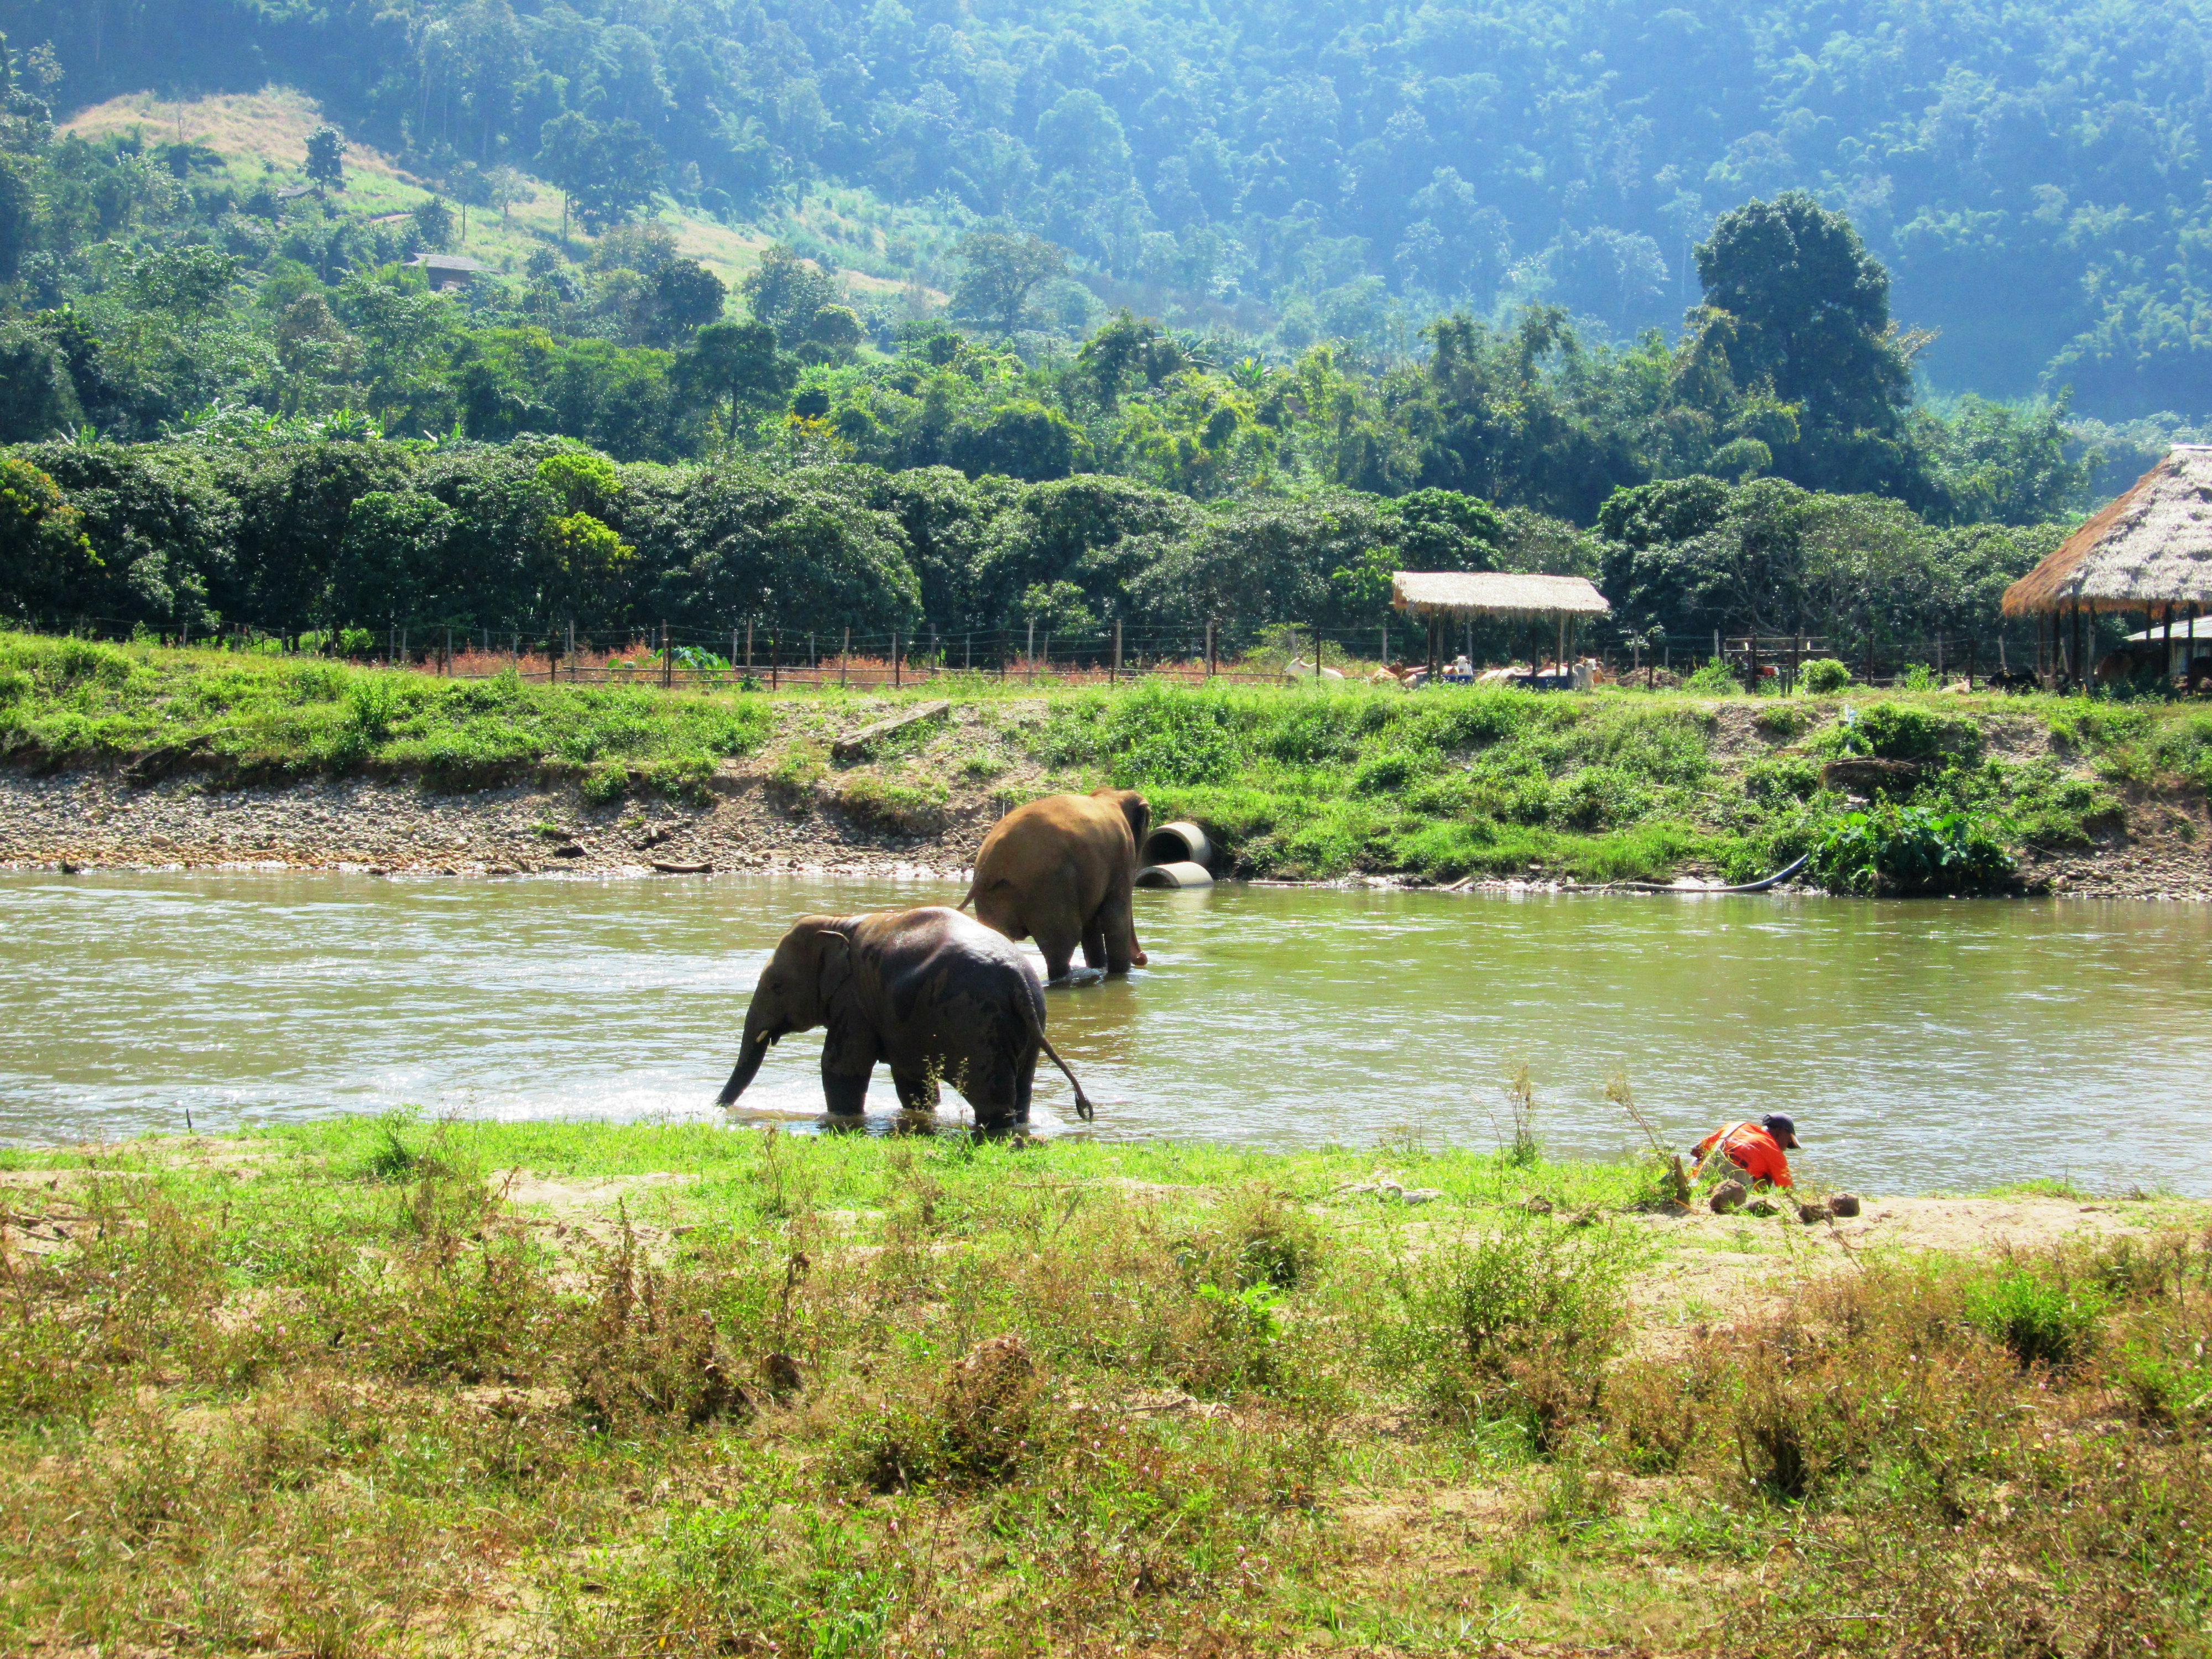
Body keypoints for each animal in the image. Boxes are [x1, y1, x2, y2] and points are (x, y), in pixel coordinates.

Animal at [716, 907, 1094, 1127]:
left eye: (777, 986)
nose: (717, 1109)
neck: (839, 922)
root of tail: (1018, 979)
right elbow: (912, 1080)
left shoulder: (854, 1001)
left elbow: (841, 1066)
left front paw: (842, 1119)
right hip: (1029, 1026)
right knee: (1021, 1088)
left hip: (977, 1024)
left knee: (991, 1095)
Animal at [960, 788, 1151, 983]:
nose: (1142, 958)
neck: (1111, 795)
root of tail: (991, 862)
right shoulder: (1123, 855)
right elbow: (1115, 918)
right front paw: (1119, 975)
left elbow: (1092, 925)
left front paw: (1100, 968)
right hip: (1049, 888)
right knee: (1062, 944)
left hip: (996, 894)